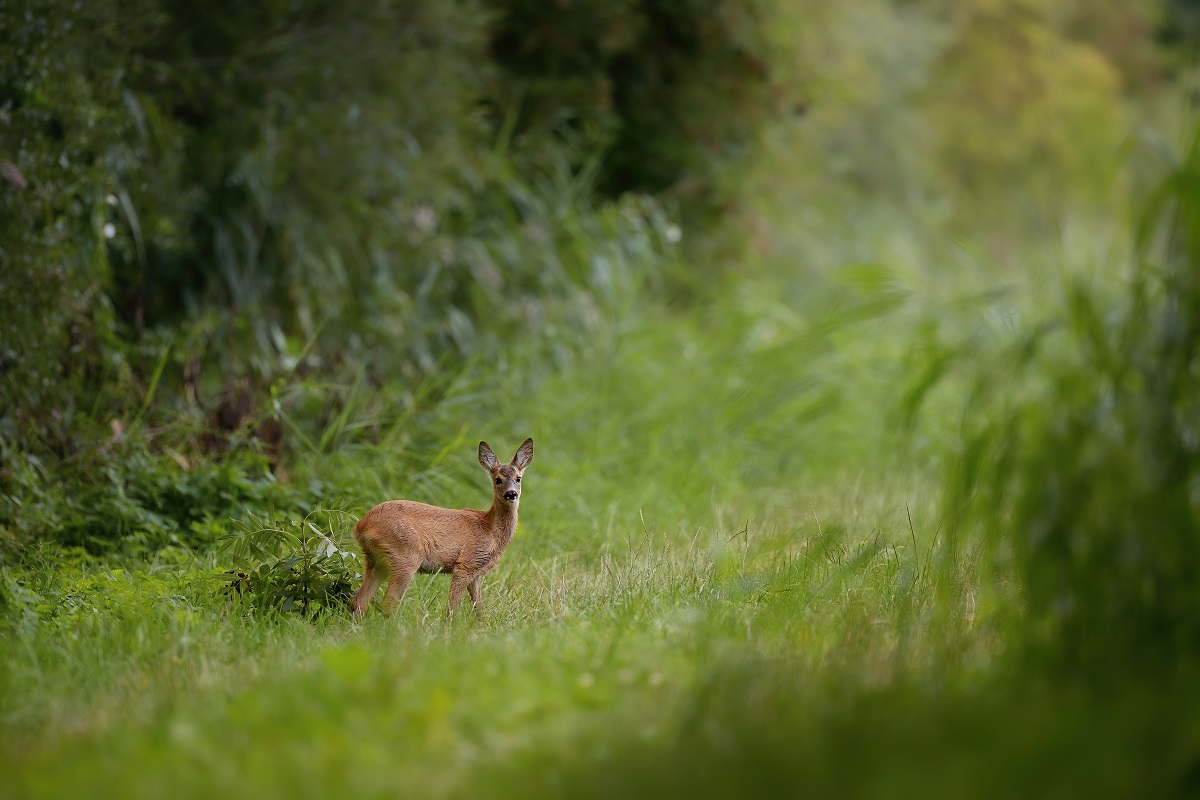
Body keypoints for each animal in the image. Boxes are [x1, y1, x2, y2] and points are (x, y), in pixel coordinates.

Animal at [350, 441, 532, 618]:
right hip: (405, 553)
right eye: (498, 479)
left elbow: (480, 608)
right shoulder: (466, 563)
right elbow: (453, 608)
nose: (511, 494)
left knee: (359, 602)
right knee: (387, 603)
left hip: (376, 559)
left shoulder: (476, 573)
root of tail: (361, 526)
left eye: (518, 478)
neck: (490, 530)